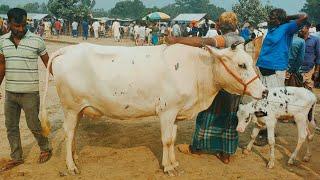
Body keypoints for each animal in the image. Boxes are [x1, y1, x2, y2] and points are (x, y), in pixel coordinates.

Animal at [41, 42, 266, 176]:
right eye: (242, 65)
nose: (264, 91)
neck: (197, 70)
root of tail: (67, 49)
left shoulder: (176, 113)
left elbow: (172, 139)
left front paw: (174, 163)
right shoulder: (167, 111)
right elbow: (166, 140)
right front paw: (167, 167)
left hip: (78, 108)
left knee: (73, 132)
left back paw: (75, 156)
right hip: (70, 106)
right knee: (69, 132)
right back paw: (71, 165)